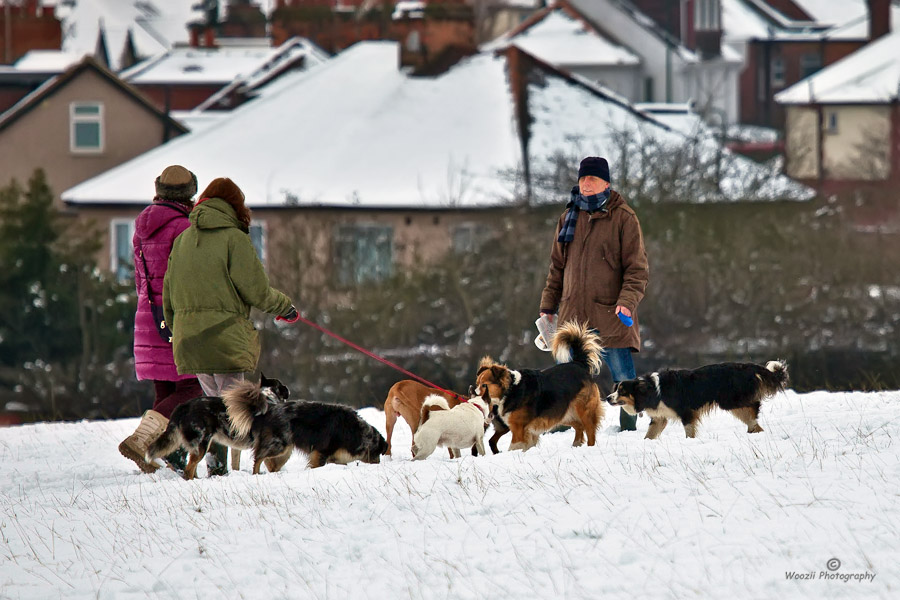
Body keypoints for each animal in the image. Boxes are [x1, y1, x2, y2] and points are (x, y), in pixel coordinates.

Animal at [472, 322, 604, 452]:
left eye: (484, 385)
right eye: (477, 384)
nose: (473, 394)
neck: (510, 390)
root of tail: (578, 364)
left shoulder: (518, 428)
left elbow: (514, 447)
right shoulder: (529, 431)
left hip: (584, 410)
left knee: (590, 432)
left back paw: (590, 448)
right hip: (563, 412)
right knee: (579, 426)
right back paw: (576, 446)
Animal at [604, 358, 788, 438]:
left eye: (622, 391)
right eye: (616, 389)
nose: (607, 397)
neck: (652, 390)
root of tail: (749, 366)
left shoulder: (686, 412)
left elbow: (689, 431)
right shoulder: (659, 418)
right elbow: (650, 434)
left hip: (731, 401)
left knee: (754, 407)